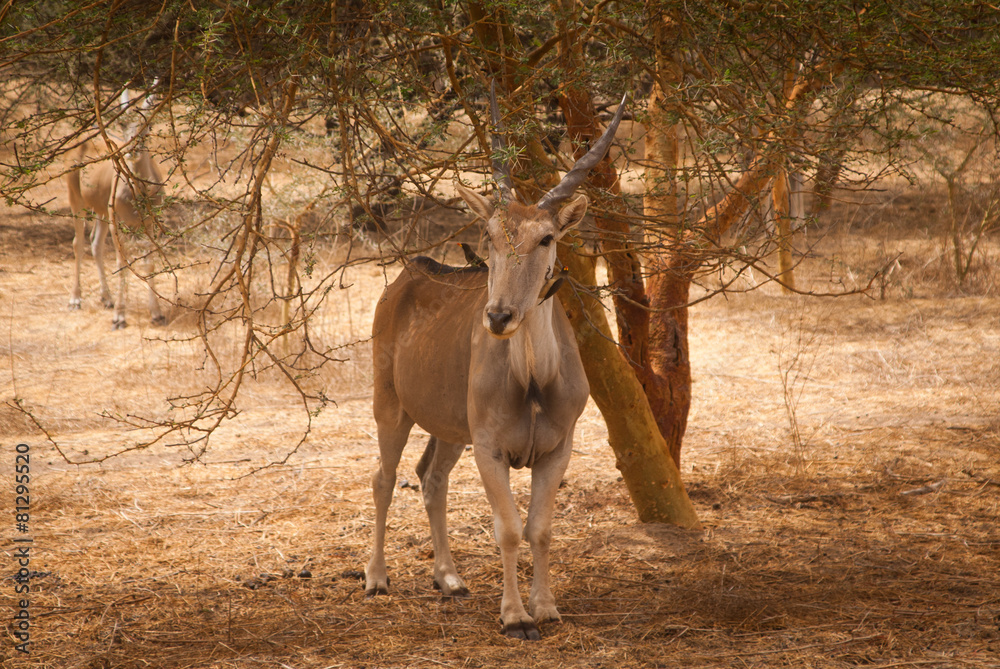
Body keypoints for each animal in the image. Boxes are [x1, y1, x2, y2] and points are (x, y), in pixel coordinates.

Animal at [66, 86, 166, 329]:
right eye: (122, 123)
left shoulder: (150, 223)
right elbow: (122, 262)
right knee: (78, 242)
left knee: (95, 244)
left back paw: (107, 298)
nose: (132, 149)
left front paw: (157, 314)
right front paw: (119, 318)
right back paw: (75, 299)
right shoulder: (117, 221)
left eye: (148, 125)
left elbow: (150, 262)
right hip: (76, 199)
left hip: (102, 210)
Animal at [367, 84, 625, 640]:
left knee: (430, 476)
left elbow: (540, 529)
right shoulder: (489, 448)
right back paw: (376, 577)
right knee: (384, 476)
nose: (499, 315)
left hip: (450, 427)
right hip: (390, 407)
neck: (533, 380)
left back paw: (449, 577)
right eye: (488, 235)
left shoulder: (556, 449)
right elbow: (507, 529)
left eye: (546, 237)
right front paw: (515, 616)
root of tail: (408, 275)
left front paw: (545, 607)